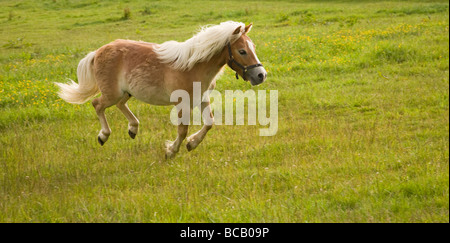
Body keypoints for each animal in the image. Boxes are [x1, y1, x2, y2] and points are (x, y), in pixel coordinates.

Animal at [55, 21, 268, 159]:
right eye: (242, 51)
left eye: (253, 47)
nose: (261, 75)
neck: (193, 66)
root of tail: (98, 52)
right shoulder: (182, 104)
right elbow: (182, 130)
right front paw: (171, 151)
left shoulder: (202, 99)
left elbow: (209, 123)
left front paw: (192, 144)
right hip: (111, 93)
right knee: (97, 104)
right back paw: (103, 136)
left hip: (127, 92)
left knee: (120, 105)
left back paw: (133, 128)